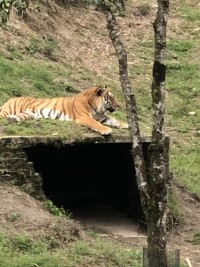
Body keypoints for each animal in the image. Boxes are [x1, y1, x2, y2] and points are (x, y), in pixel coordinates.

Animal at [0, 86, 128, 136]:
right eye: (111, 97)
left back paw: (12, 119)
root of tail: (10, 99)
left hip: (28, 114)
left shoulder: (102, 116)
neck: (96, 108)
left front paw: (125, 124)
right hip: (8, 110)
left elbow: (115, 120)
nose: (119, 105)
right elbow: (95, 123)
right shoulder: (84, 117)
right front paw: (106, 130)